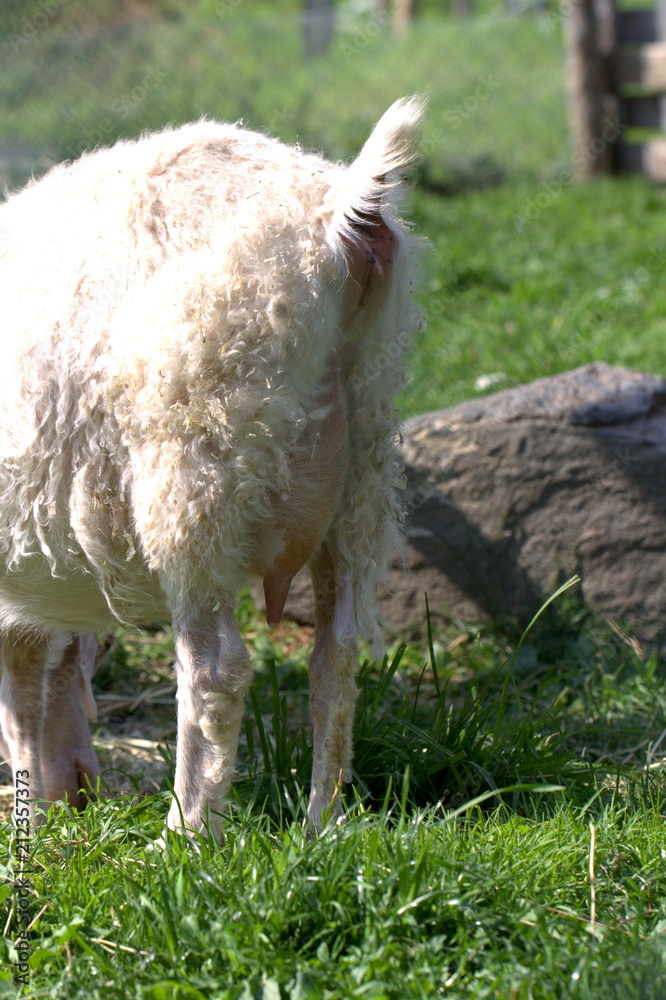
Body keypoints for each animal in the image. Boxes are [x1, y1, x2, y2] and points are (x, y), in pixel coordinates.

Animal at [0, 97, 425, 838]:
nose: (78, 793)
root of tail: (341, 216)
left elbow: (17, 695)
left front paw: (26, 824)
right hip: (365, 463)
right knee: (337, 655)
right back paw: (322, 824)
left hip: (195, 467)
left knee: (216, 669)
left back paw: (186, 833)